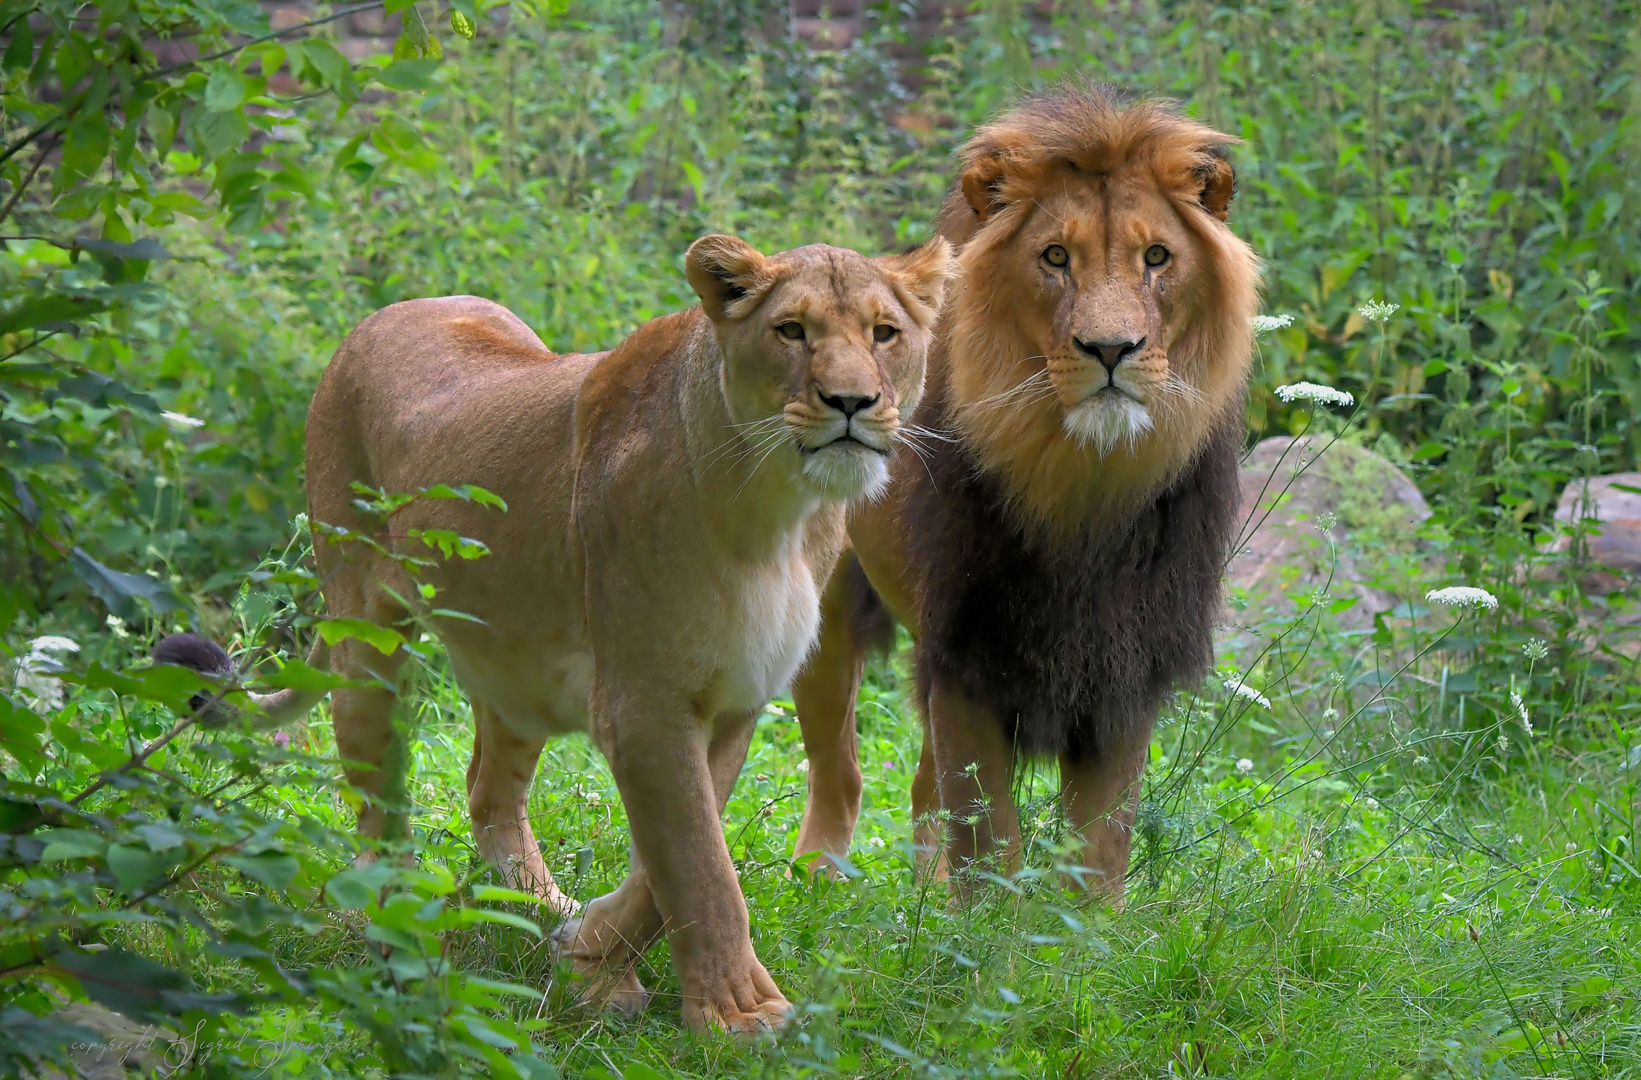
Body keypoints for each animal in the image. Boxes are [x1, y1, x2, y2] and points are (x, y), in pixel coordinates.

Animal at [159, 233, 958, 1024]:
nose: (852, 402)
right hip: (365, 633)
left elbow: (670, 867)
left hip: (515, 663)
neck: (780, 512)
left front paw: (589, 957)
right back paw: (398, 922)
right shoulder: (642, 703)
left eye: (884, 334)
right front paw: (739, 1016)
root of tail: (383, 314)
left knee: (487, 790)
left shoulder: (737, 696)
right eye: (791, 331)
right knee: (376, 798)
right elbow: (700, 867)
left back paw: (540, 908)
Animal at [787, 88, 1260, 906]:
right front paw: (980, 935)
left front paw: (1084, 936)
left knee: (920, 791)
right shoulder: (966, 654)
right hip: (825, 622)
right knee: (842, 776)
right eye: (1055, 257)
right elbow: (989, 843)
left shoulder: (1124, 666)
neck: (1084, 480)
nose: (1111, 350)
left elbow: (1098, 847)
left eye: (1157, 258)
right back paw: (817, 885)